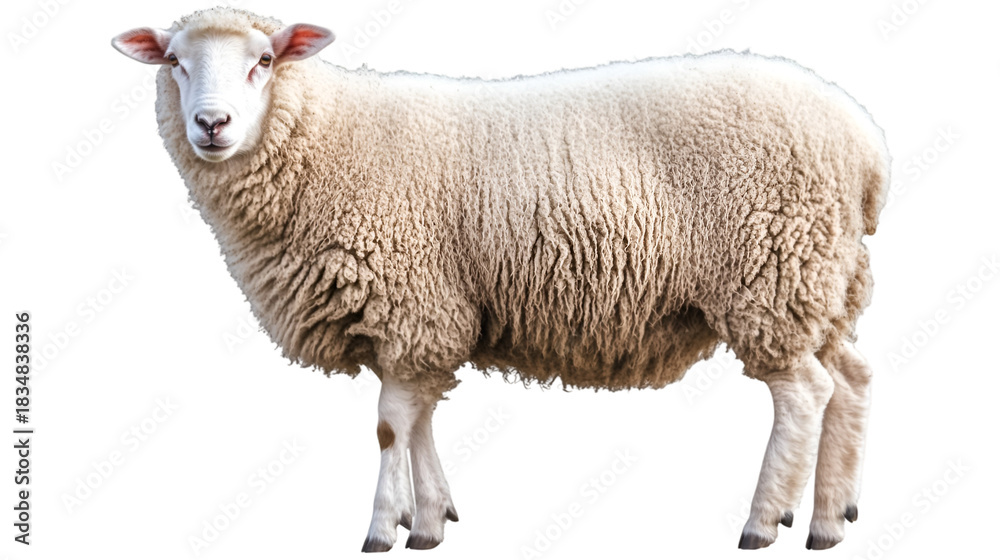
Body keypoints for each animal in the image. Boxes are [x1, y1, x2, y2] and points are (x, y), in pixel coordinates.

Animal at [111, 6, 890, 552]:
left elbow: (391, 427)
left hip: (771, 275)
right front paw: (431, 518)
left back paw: (764, 521)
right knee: (850, 380)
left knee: (804, 395)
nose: (212, 124)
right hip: (822, 280)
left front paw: (383, 528)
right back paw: (830, 519)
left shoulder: (413, 300)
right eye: (175, 60)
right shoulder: (423, 318)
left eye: (265, 60)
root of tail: (864, 142)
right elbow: (419, 419)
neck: (324, 144)